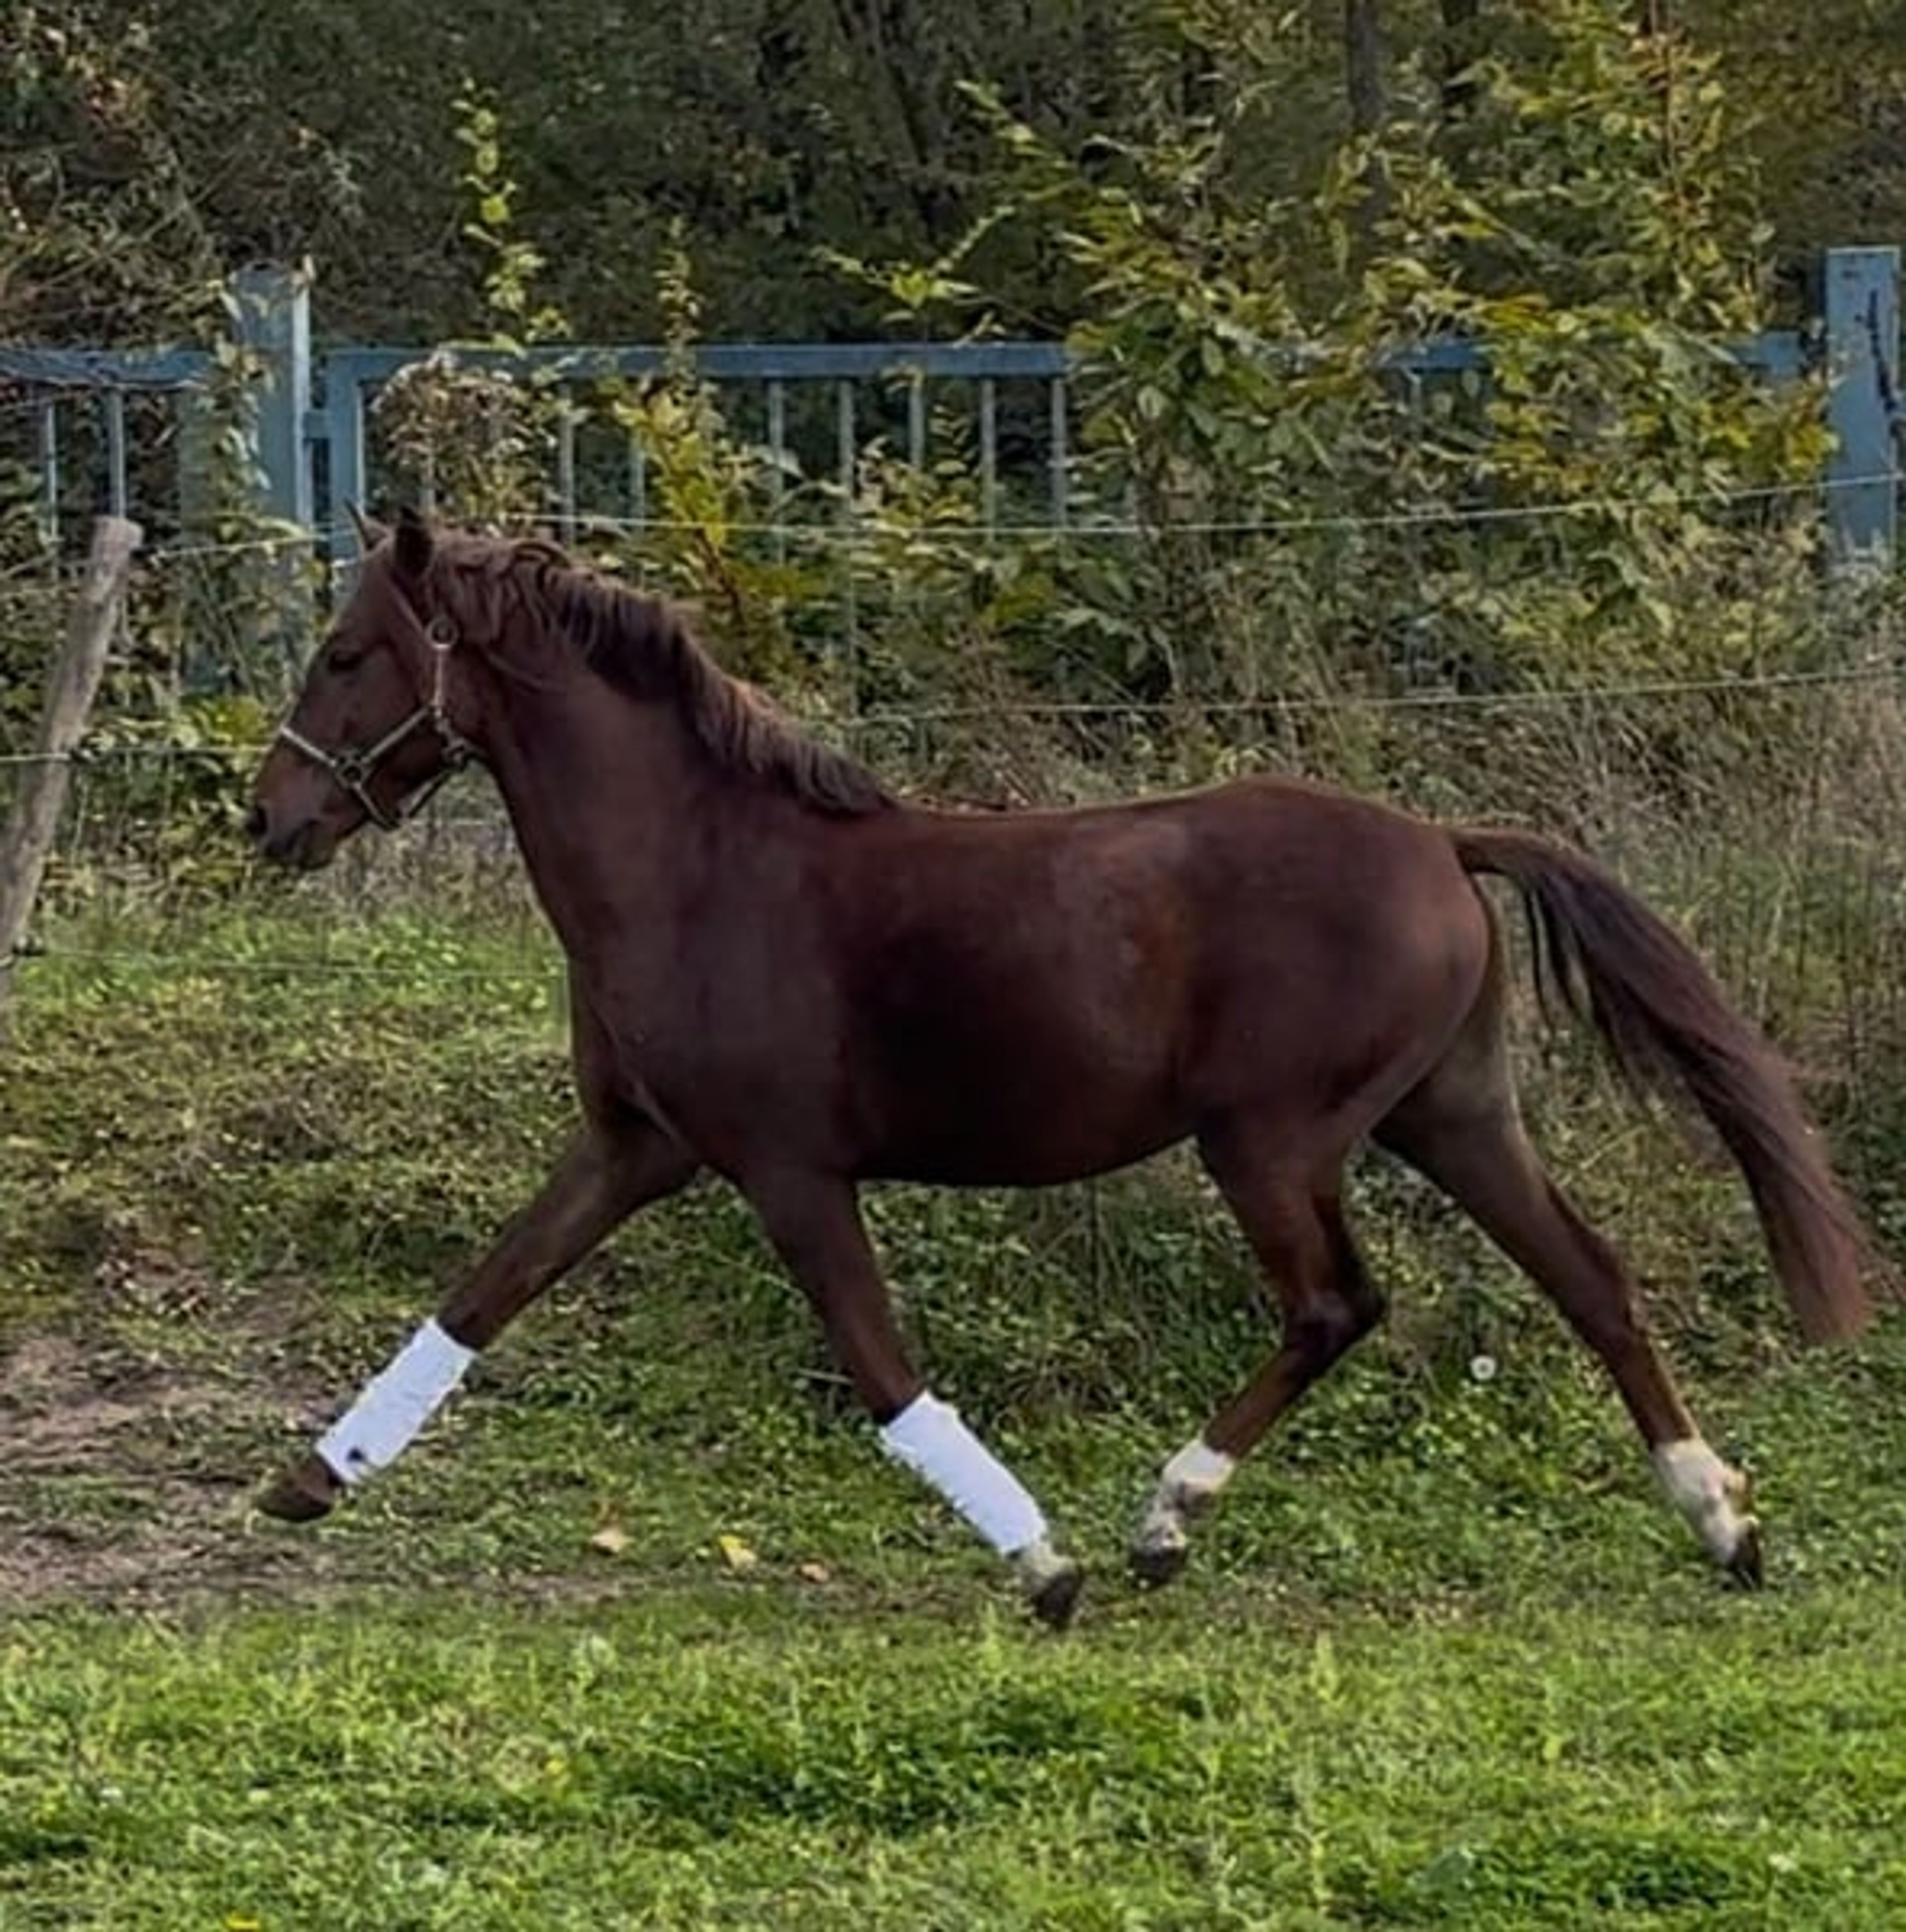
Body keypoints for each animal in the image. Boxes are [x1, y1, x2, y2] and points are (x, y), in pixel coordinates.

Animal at [246, 507, 1882, 1628]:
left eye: (345, 653)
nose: (268, 818)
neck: (698, 872)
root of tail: (1439, 839)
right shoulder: (632, 1145)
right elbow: (482, 1291)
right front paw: (309, 1479)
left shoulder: (784, 1169)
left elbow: (882, 1367)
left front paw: (1043, 1564)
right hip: (1451, 1114)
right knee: (1589, 1279)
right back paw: (1723, 1525)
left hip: (1272, 1140)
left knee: (1337, 1305)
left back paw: (1165, 1519)